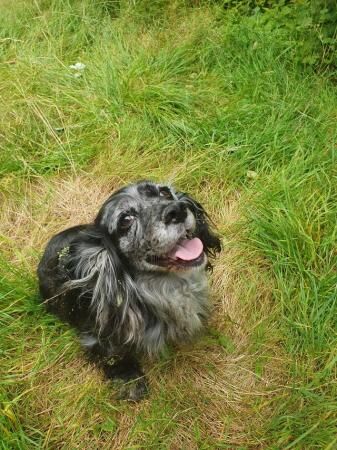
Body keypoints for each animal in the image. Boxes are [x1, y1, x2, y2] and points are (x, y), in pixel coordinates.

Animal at [37, 181, 220, 400]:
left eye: (165, 192)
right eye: (126, 219)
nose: (177, 210)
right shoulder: (99, 336)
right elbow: (115, 355)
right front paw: (129, 380)